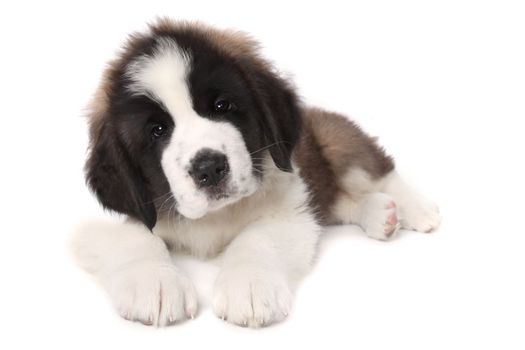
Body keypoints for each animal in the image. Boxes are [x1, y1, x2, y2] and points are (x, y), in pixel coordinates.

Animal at [71, 19, 440, 328]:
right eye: (158, 130)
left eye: (222, 106)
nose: (209, 168)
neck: (213, 217)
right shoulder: (97, 220)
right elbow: (135, 237)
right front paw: (156, 284)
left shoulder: (289, 205)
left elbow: (257, 238)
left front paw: (248, 286)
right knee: (339, 202)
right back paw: (380, 214)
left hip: (336, 139)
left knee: (377, 170)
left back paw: (417, 209)